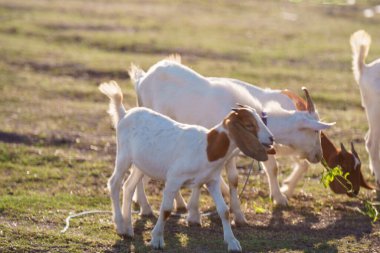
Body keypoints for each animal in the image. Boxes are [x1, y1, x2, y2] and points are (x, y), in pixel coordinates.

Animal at [99, 80, 274, 251]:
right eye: (249, 125)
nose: (271, 138)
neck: (207, 148)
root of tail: (124, 114)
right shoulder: (174, 179)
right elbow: (166, 209)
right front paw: (157, 239)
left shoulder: (212, 180)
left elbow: (223, 211)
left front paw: (232, 242)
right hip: (124, 155)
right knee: (114, 183)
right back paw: (120, 225)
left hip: (141, 164)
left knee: (128, 186)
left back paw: (128, 229)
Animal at [128, 57, 332, 225]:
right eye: (315, 131)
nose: (318, 155)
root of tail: (142, 79)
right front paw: (199, 216)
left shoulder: (226, 153)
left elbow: (231, 179)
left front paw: (236, 215)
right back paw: (146, 208)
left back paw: (177, 203)